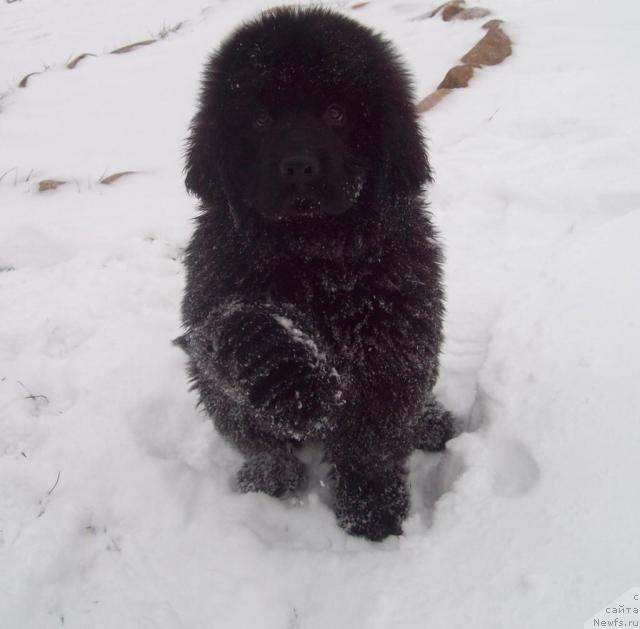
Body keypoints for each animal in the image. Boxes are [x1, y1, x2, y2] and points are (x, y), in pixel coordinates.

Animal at [178, 4, 452, 540]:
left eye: (336, 114)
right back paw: (268, 476)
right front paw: (290, 377)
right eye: (260, 119)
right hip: (212, 391)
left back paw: (431, 422)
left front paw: (371, 511)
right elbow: (234, 327)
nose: (299, 167)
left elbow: (371, 442)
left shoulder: (397, 340)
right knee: (258, 441)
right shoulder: (210, 298)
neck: (313, 256)